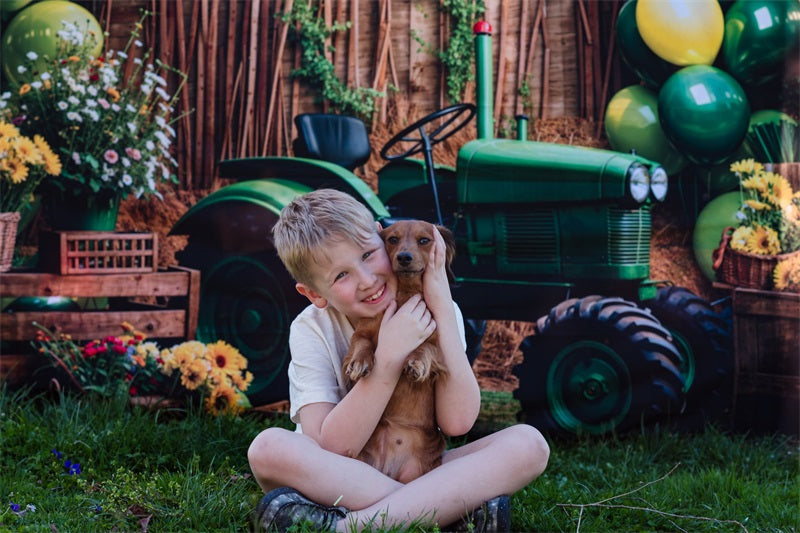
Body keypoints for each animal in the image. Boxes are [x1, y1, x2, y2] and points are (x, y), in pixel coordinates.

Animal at [340, 218, 456, 484]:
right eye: (393, 239)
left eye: (424, 240)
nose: (404, 257)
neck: (405, 293)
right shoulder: (362, 332)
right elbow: (362, 344)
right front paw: (360, 362)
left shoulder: (437, 343)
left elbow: (424, 348)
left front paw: (415, 363)